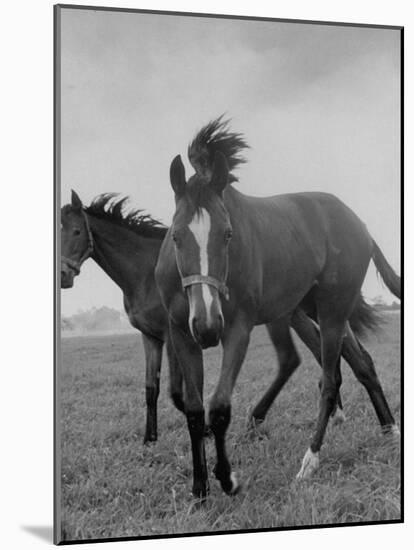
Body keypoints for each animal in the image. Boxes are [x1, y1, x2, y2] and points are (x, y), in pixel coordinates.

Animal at [60, 190, 378, 448]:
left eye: (76, 231)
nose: (63, 275)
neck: (144, 272)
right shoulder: (150, 337)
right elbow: (152, 388)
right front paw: (150, 439)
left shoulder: (173, 335)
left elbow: (177, 392)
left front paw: (205, 430)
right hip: (306, 315)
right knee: (340, 357)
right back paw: (349, 418)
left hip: (303, 315)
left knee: (323, 358)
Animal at [155, 116, 402, 500]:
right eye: (177, 235)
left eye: (228, 234)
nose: (208, 327)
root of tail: (360, 225)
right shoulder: (182, 332)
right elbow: (195, 410)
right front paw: (199, 487)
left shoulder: (238, 329)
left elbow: (219, 406)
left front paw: (227, 479)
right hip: (312, 311)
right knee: (361, 362)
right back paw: (389, 430)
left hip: (332, 310)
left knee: (330, 379)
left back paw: (310, 460)